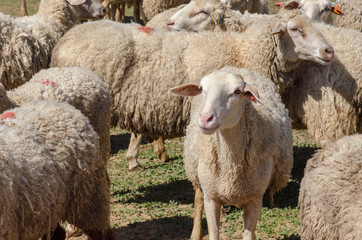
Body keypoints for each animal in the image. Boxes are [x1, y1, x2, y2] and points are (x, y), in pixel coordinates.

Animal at [170, 66, 294, 240]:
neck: (230, 167)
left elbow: (248, 234)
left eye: (237, 91)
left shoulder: (255, 199)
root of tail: (235, 67)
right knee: (198, 199)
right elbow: (213, 233)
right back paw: (195, 234)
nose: (205, 119)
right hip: (197, 173)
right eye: (202, 89)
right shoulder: (211, 198)